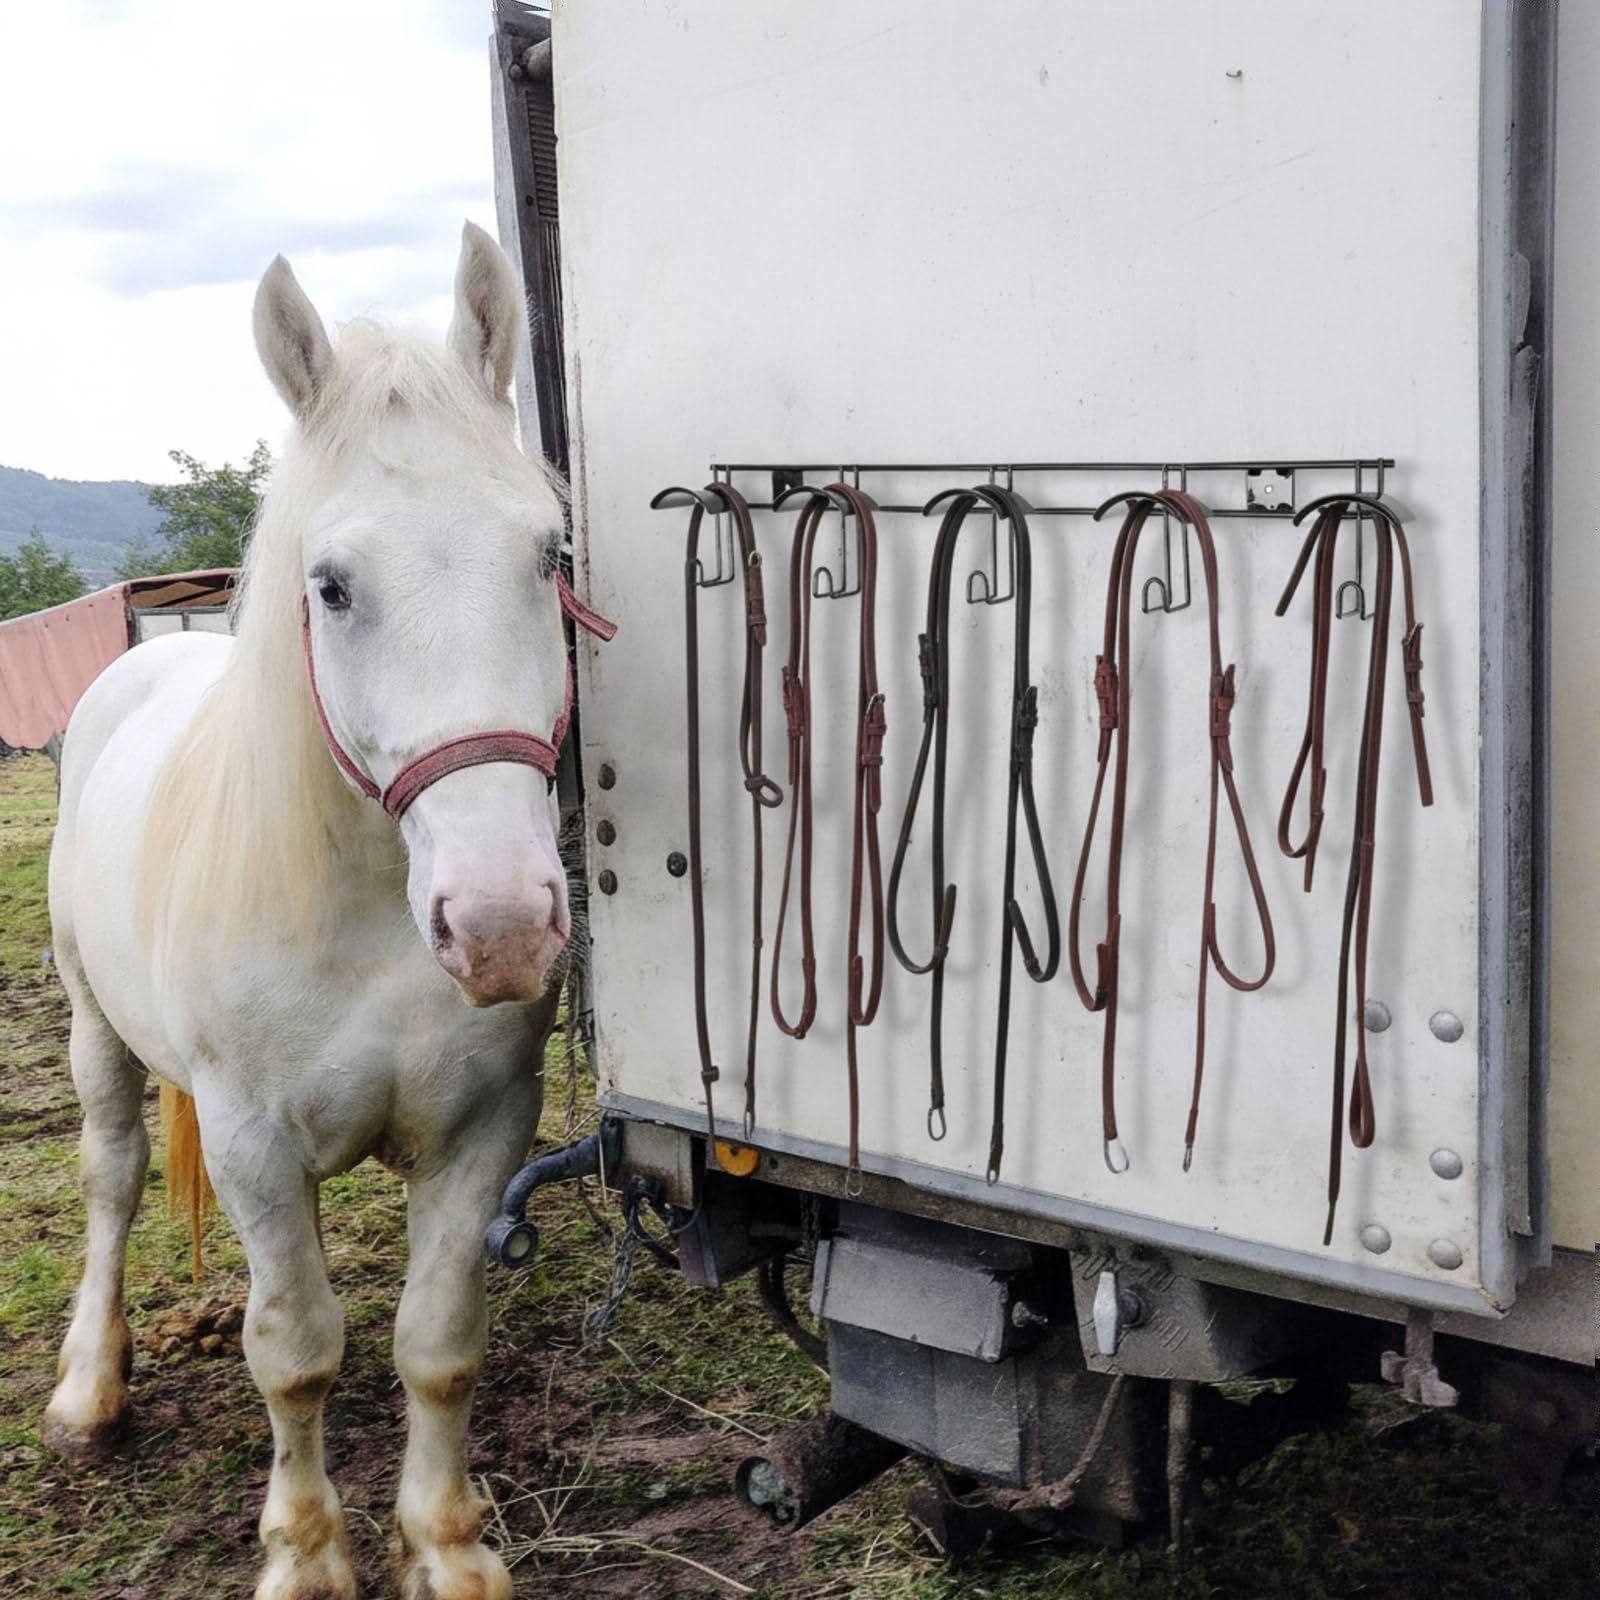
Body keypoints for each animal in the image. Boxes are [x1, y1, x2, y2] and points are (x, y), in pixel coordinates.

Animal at [40, 222, 607, 1600]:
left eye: (548, 555)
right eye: (333, 586)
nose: (500, 925)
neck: (366, 919)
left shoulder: (483, 1128)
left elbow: (437, 1343)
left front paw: (446, 1545)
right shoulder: (255, 1145)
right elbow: (294, 1354)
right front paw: (305, 1556)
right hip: (92, 1026)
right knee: (112, 1179)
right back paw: (89, 1389)